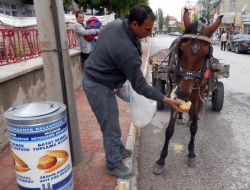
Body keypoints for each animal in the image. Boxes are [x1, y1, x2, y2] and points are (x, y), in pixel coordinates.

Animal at [153, 8, 224, 175]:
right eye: (181, 50)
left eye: (206, 54)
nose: (183, 93)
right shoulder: (175, 91)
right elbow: (169, 129)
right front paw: (161, 159)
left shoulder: (198, 94)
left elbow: (194, 127)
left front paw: (191, 153)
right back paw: (181, 117)